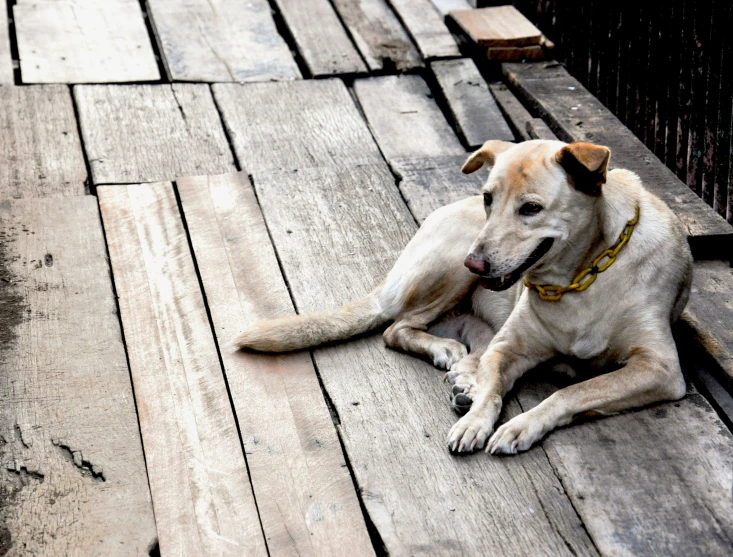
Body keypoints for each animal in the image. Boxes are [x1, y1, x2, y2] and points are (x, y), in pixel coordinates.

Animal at [233, 139, 692, 452]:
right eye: (489, 198)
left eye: (531, 208)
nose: (476, 263)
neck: (579, 279)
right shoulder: (509, 347)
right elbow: (494, 391)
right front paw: (476, 421)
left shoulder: (659, 368)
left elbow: (573, 392)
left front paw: (519, 423)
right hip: (449, 265)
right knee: (398, 329)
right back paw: (447, 356)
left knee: (468, 345)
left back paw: (463, 380)